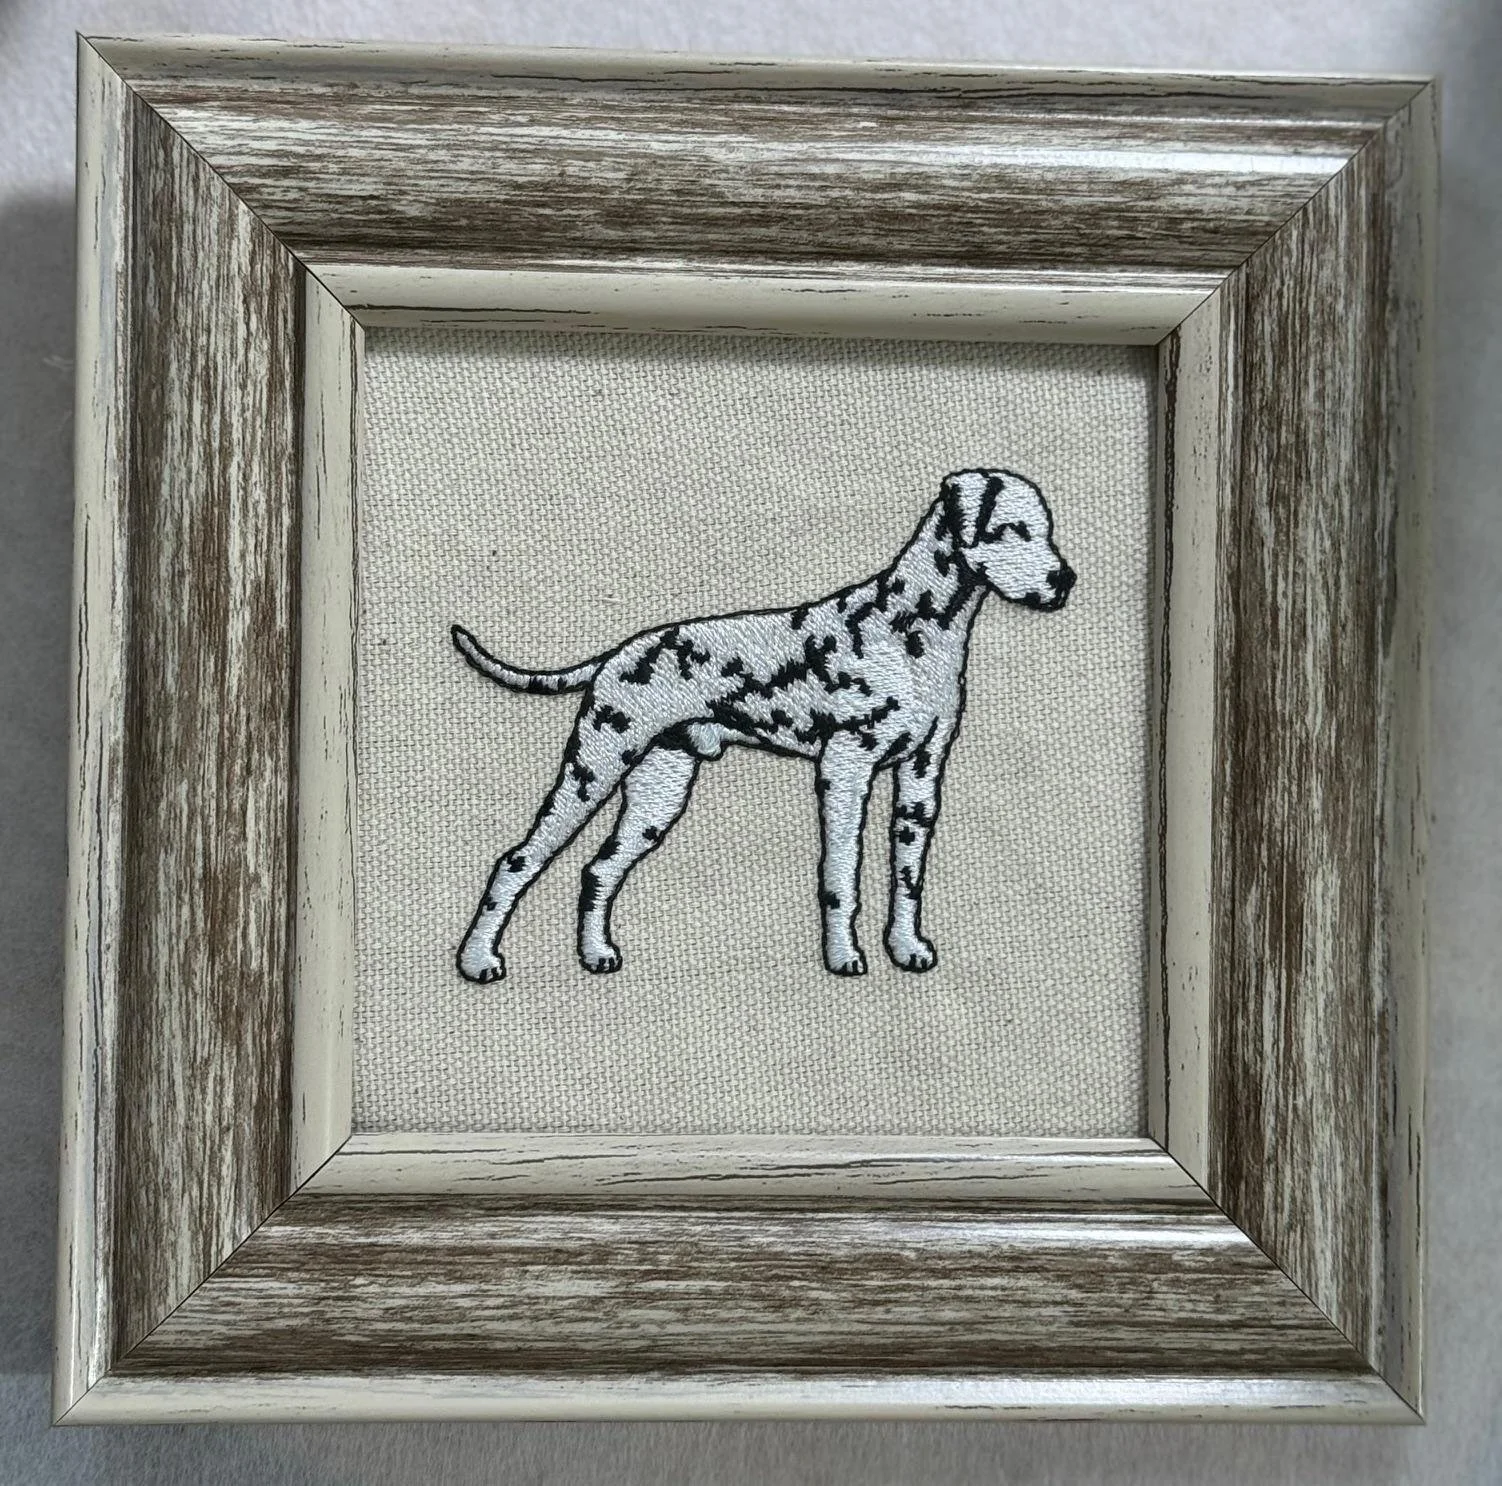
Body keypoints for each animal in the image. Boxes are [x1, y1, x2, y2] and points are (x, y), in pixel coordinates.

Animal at [451, 468, 1075, 984]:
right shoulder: (847, 770)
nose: (1064, 580)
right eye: (1013, 529)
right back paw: (477, 959)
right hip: (592, 771)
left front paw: (907, 948)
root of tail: (617, 655)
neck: (911, 633)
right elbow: (842, 877)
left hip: (658, 796)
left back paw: (595, 954)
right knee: (518, 860)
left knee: (598, 869)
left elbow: (907, 876)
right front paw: (844, 957)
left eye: (1048, 530)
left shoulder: (921, 778)